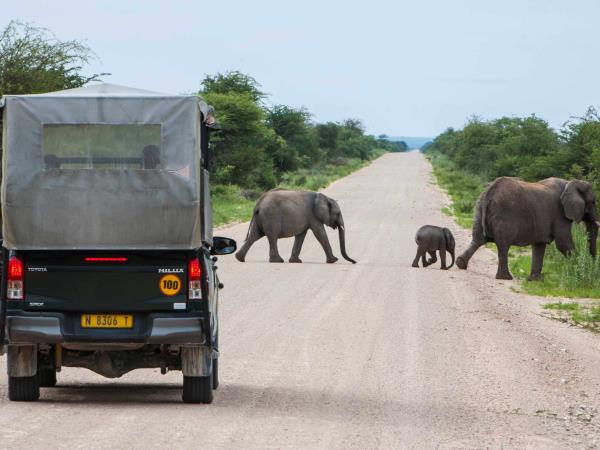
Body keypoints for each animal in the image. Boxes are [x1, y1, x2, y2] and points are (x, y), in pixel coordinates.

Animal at [454, 177, 600, 280]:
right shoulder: (560, 214)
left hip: (478, 208)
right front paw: (579, 268)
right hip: (504, 215)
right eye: (593, 202)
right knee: (503, 245)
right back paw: (505, 278)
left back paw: (461, 264)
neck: (569, 182)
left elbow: (539, 245)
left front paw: (534, 280)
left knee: (478, 239)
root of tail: (489, 192)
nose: (592, 268)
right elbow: (563, 244)